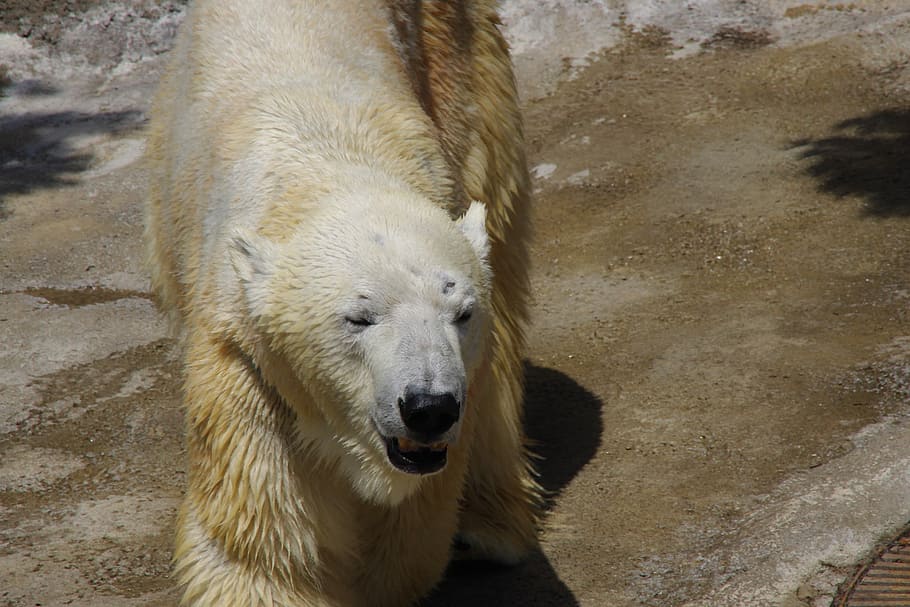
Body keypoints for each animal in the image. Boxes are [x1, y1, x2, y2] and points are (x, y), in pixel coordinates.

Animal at [144, 1, 539, 605]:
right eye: (359, 317)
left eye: (462, 312)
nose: (429, 407)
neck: (328, 159)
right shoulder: (247, 359)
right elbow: (263, 547)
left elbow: (406, 534)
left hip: (461, 63)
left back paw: (486, 529)